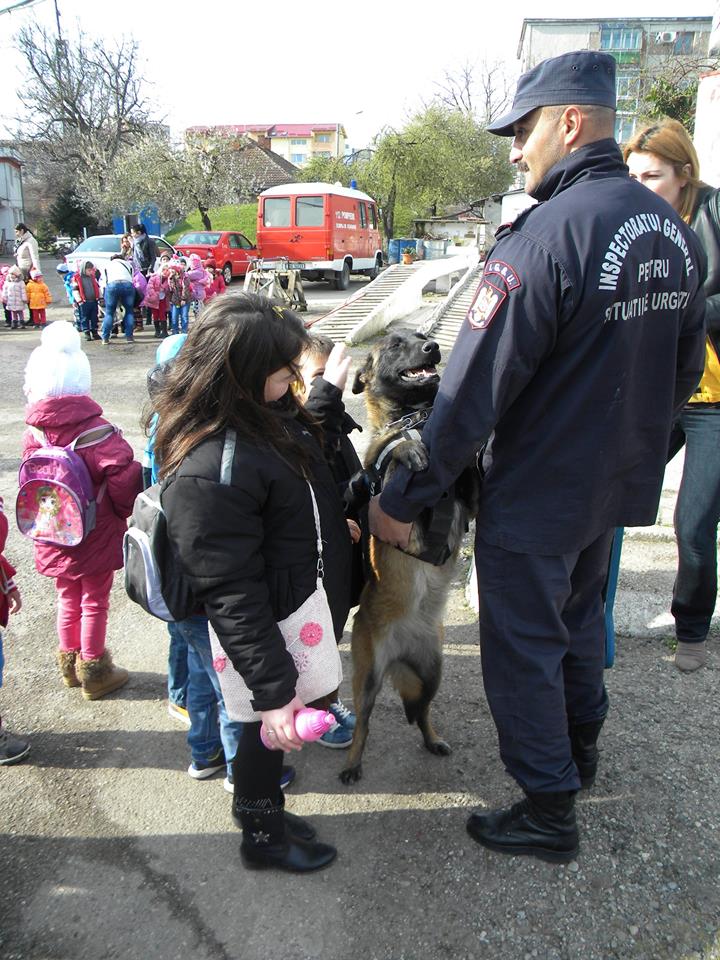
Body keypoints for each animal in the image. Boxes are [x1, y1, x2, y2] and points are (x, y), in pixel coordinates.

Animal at [339, 331, 479, 785]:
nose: (433, 347)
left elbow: (470, 471)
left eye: (423, 337)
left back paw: (433, 740)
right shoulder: (384, 490)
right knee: (364, 726)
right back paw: (352, 764)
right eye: (396, 344)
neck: (413, 420)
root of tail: (401, 651)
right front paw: (407, 451)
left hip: (434, 671)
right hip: (367, 681)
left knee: (422, 713)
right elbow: (391, 454)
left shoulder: (469, 499)